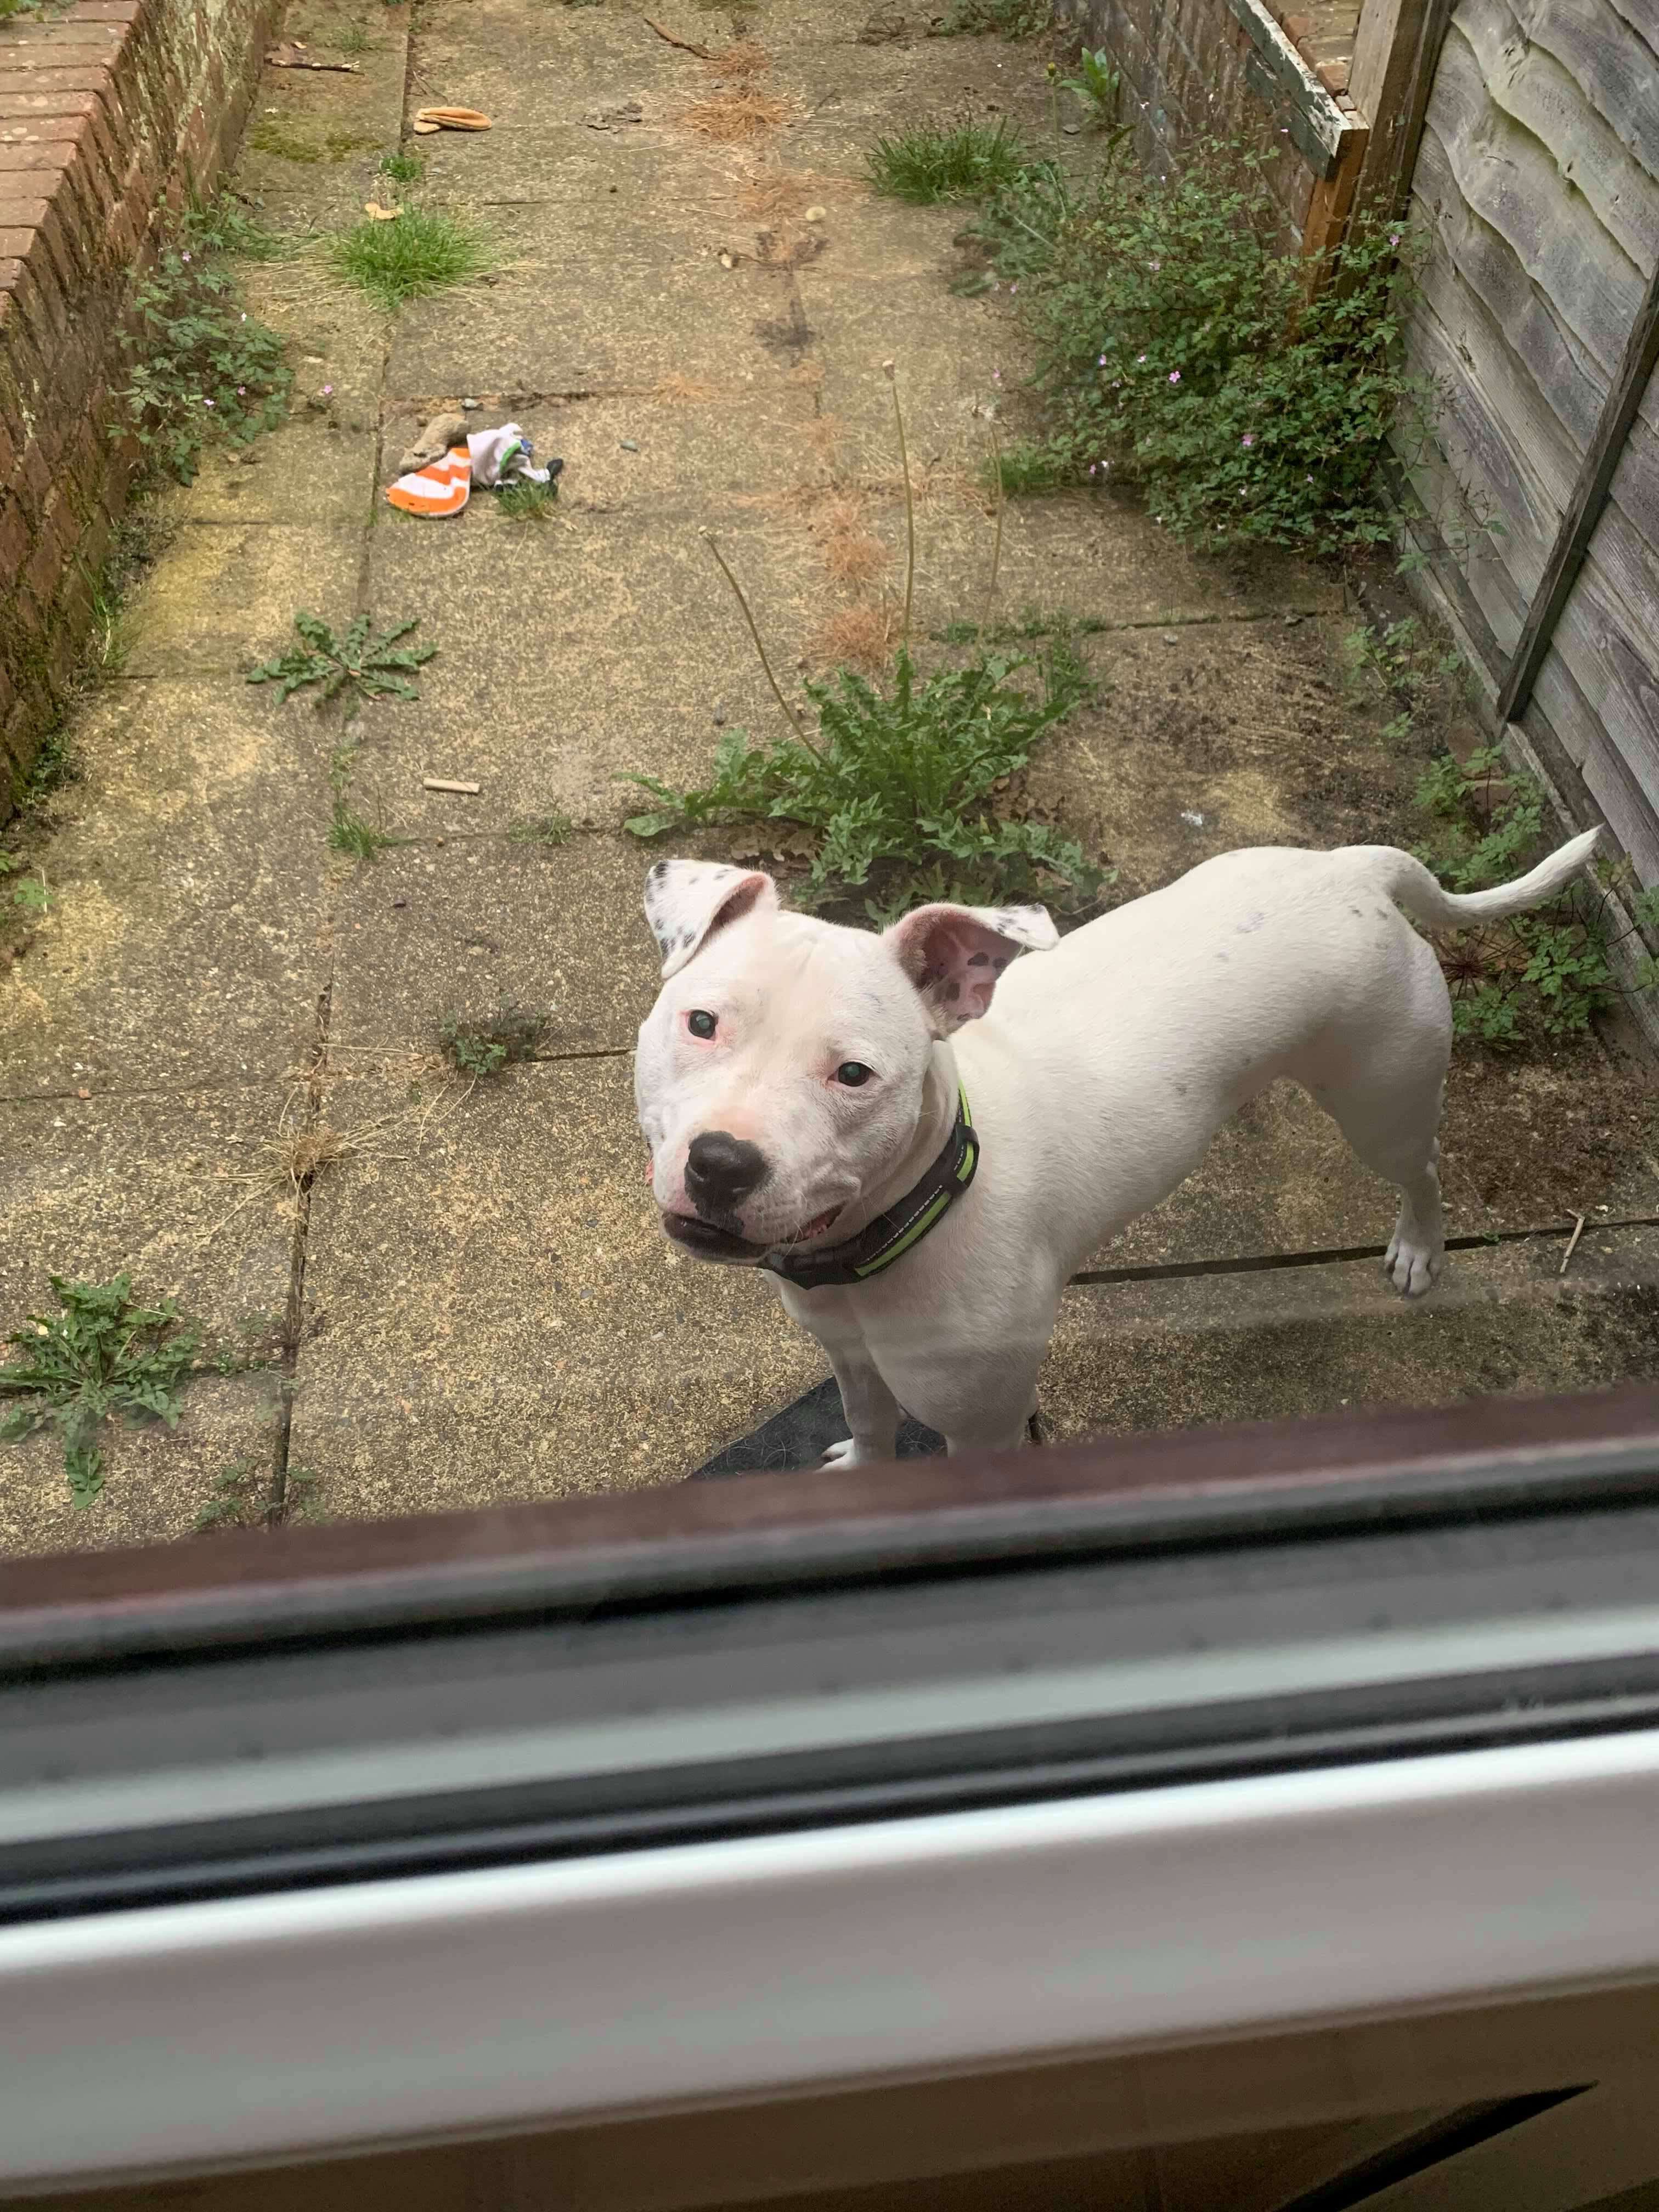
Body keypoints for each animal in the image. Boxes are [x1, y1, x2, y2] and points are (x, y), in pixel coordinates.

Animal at [633, 822, 1601, 1460]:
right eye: (703, 1023)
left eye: (855, 1075)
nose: (721, 1164)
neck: (913, 1214)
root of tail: (1353, 870)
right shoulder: (852, 1363)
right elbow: (869, 1431)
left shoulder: (987, 1429)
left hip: (1381, 1103)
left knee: (1423, 1168)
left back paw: (1418, 1250)